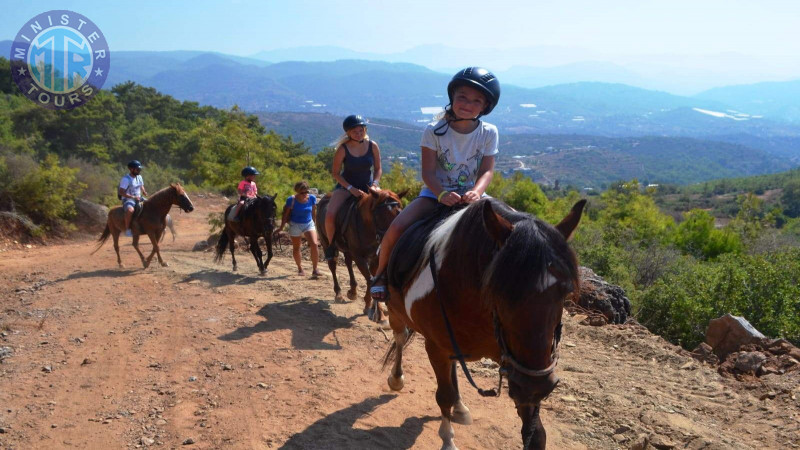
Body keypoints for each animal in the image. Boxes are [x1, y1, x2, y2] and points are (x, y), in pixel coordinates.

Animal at [318, 188, 406, 326]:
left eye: (399, 212)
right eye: (380, 214)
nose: (390, 239)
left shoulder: (375, 258)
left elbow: (373, 279)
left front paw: (374, 309)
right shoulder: (359, 257)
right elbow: (370, 280)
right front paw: (376, 311)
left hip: (347, 249)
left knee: (348, 262)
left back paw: (353, 292)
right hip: (326, 243)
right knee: (333, 265)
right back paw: (338, 294)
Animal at [384, 199, 584, 448]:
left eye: (565, 292)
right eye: (498, 291)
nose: (538, 386)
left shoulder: (515, 364)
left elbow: (536, 432)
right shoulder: (436, 348)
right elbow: (444, 395)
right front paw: (447, 439)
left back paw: (460, 407)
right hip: (395, 311)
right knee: (400, 338)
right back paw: (396, 378)